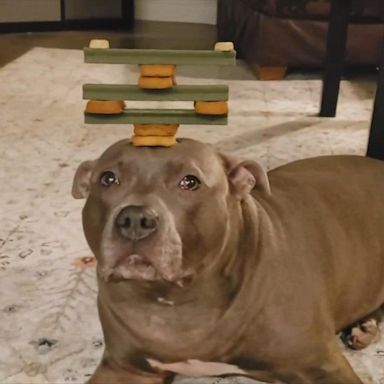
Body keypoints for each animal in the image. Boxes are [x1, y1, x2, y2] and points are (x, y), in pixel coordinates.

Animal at [72, 138, 384, 384]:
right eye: (108, 178)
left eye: (190, 181)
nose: (135, 219)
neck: (178, 302)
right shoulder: (125, 368)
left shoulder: (321, 366)